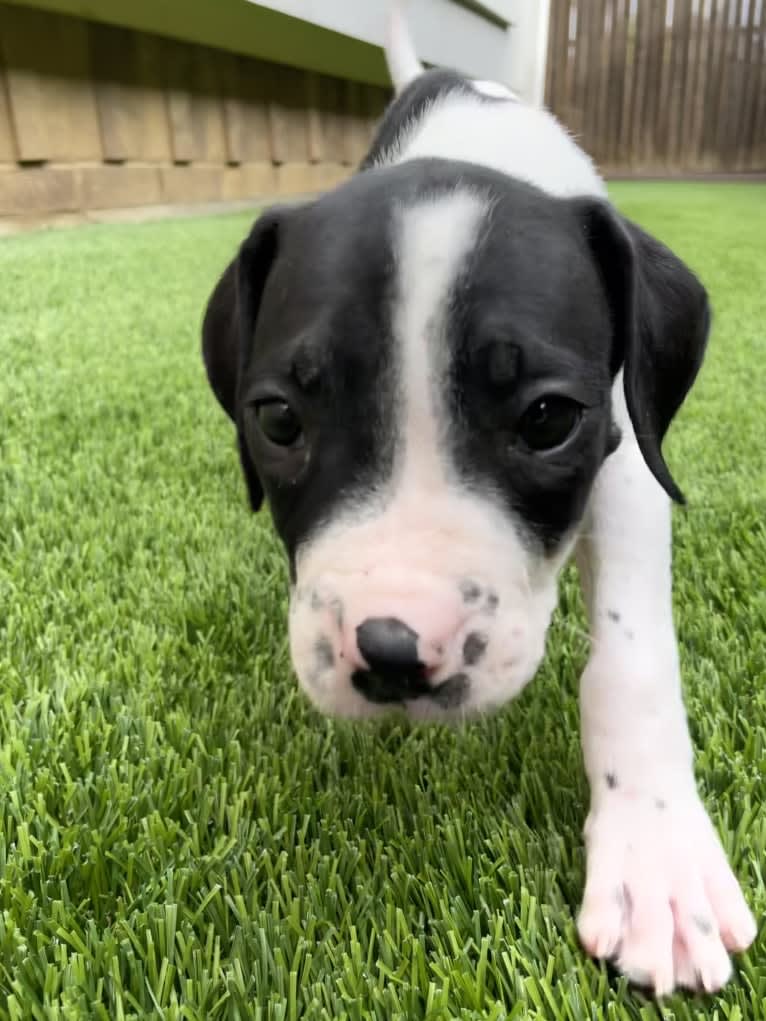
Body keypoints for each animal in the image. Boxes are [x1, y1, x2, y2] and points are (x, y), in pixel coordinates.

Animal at [201, 5, 759, 996]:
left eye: (547, 419)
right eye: (277, 419)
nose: (390, 651)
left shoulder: (624, 451)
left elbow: (631, 653)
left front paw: (657, 852)